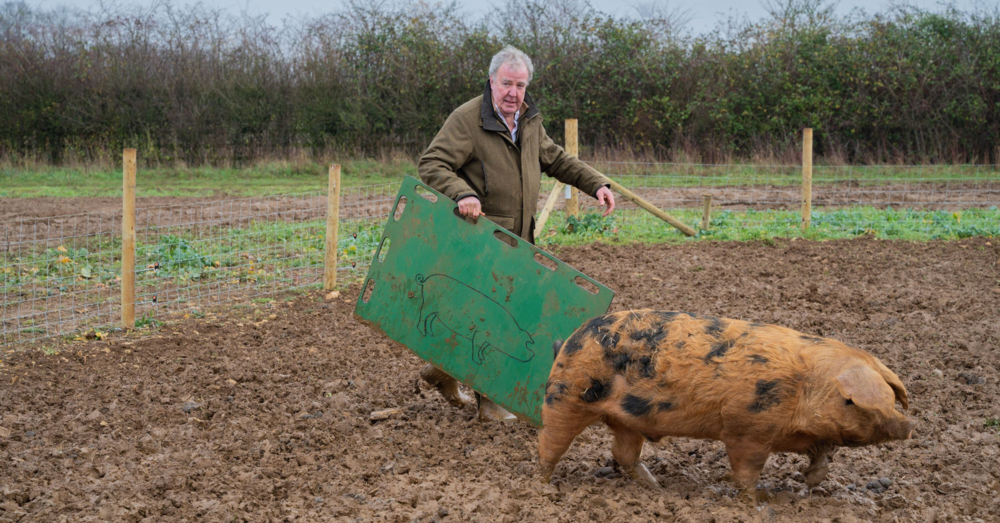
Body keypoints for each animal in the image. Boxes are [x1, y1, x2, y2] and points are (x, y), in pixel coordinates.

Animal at [540, 312, 916, 496]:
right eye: (854, 402)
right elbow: (746, 470)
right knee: (550, 443)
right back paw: (542, 485)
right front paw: (755, 500)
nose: (909, 425)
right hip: (566, 396)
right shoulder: (746, 429)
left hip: (628, 420)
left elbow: (824, 452)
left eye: (890, 396)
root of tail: (570, 339)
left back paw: (657, 488)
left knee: (623, 454)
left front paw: (811, 482)